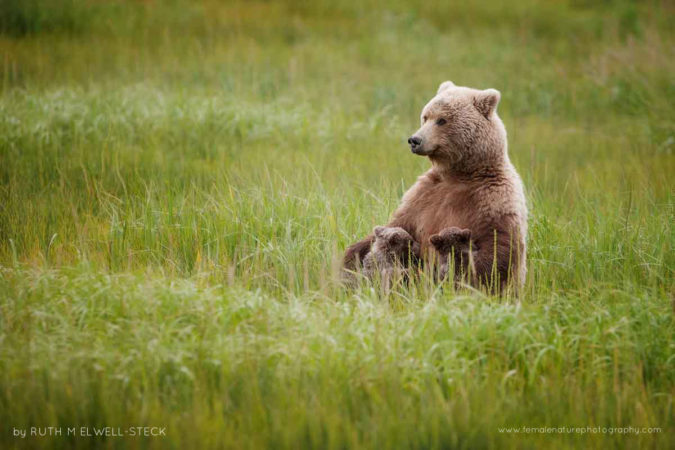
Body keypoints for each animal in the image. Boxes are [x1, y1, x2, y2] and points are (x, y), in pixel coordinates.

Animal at [343, 81, 527, 294]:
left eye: (442, 120)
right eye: (425, 117)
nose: (414, 140)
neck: (459, 174)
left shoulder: (493, 198)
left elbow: (497, 249)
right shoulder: (423, 196)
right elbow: (395, 225)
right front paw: (349, 263)